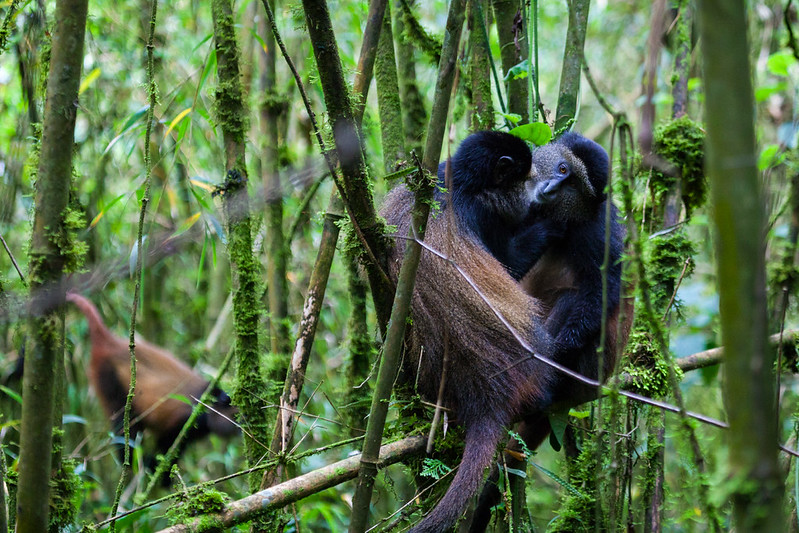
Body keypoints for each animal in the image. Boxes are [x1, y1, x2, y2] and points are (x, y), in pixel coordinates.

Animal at [65, 292, 239, 465]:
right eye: (235, 416)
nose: (241, 425)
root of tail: (110, 343)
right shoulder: (189, 418)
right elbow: (167, 445)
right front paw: (152, 464)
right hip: (108, 379)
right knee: (123, 422)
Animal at [380, 131, 630, 533]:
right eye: (561, 169)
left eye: (571, 180)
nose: (550, 187)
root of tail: (487, 398)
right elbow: (511, 263)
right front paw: (547, 229)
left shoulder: (598, 225)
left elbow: (599, 289)